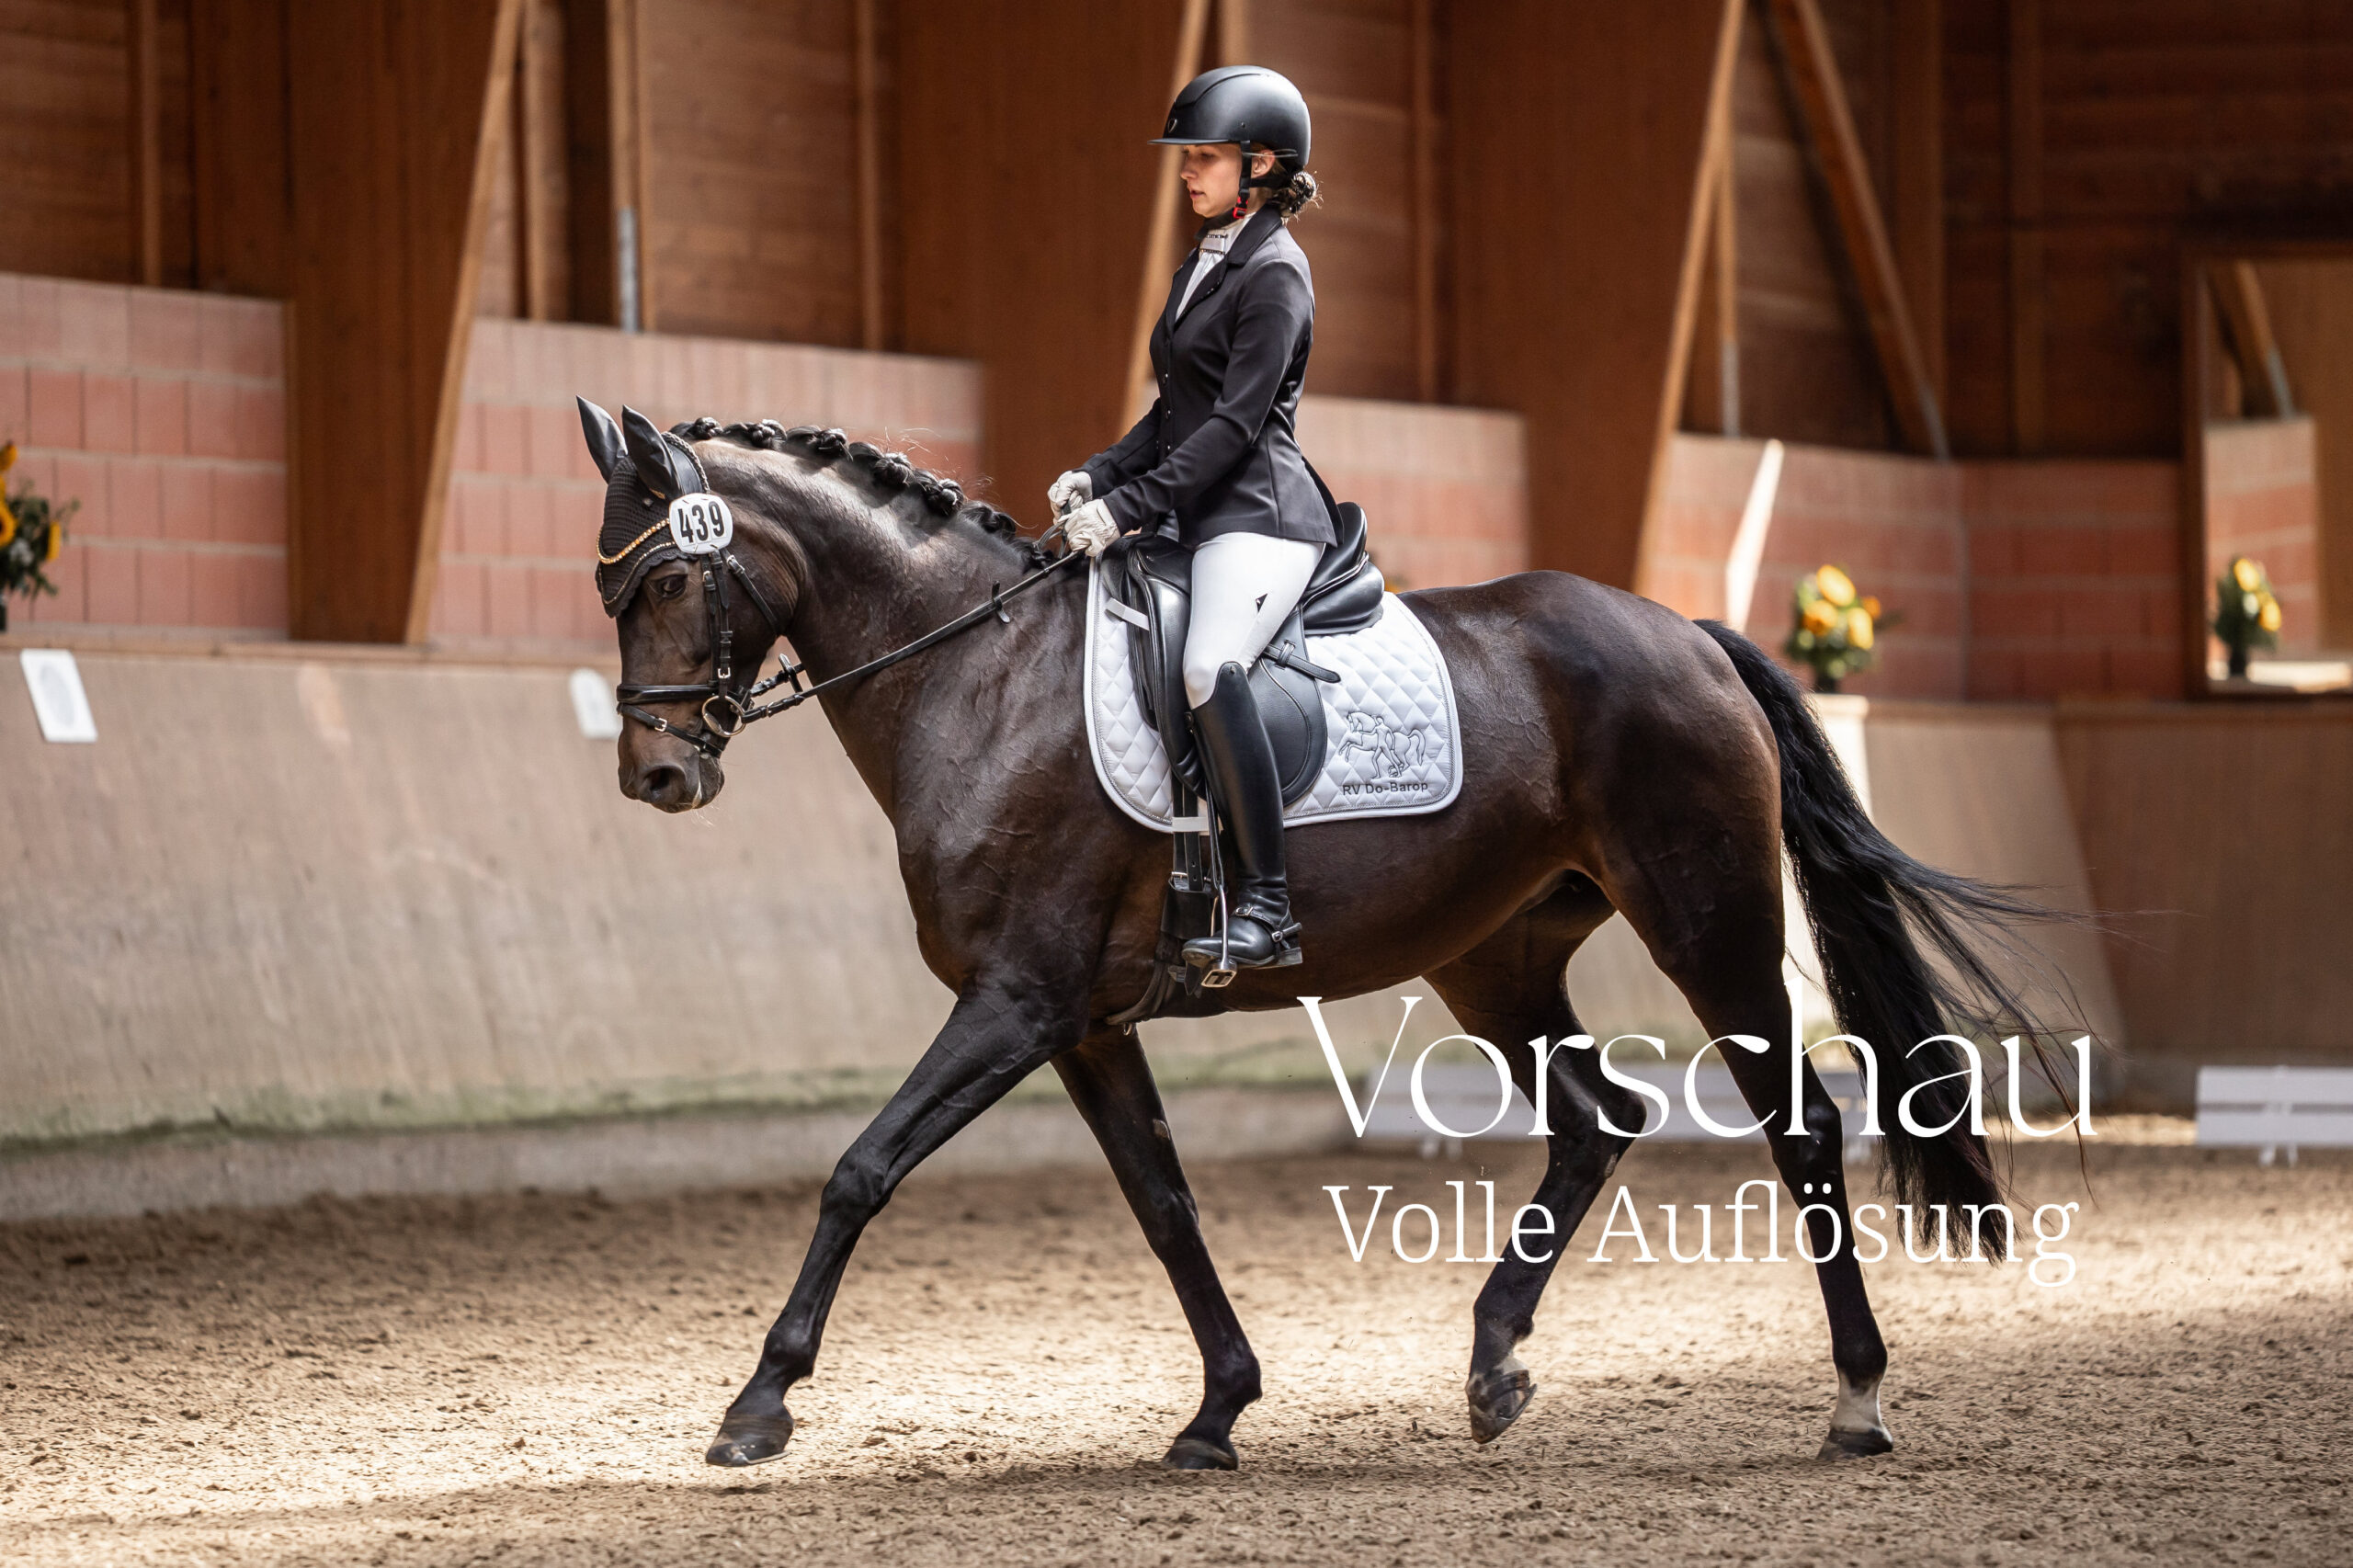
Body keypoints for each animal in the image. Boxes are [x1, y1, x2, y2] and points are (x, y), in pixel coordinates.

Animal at [577, 402, 2063, 1473]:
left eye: (667, 580)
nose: (654, 777)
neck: (975, 675)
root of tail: (1686, 633)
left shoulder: (1014, 1002)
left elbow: (860, 1170)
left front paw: (758, 1400)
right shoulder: (1084, 1023)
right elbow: (1164, 1205)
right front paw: (1217, 1411)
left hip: (1710, 924)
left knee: (1799, 1129)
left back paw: (1857, 1399)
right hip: (1494, 955)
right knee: (1600, 1116)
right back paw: (1493, 1364)